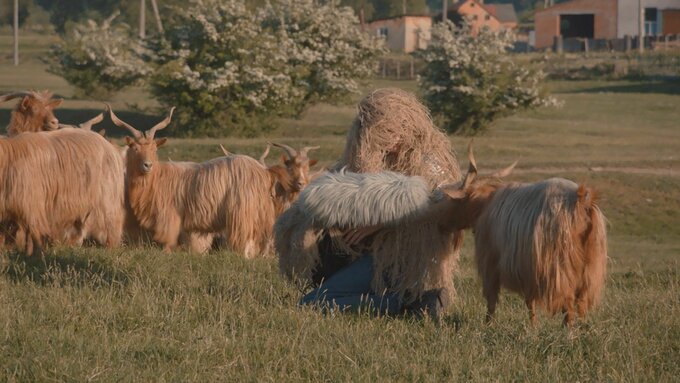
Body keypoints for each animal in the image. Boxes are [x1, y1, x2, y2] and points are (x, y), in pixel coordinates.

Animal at [440, 146, 612, 326]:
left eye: (455, 202)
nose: (441, 224)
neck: (485, 205)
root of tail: (581, 199)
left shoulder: (495, 263)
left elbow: (494, 300)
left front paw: (489, 324)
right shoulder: (528, 271)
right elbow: (530, 301)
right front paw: (533, 325)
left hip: (560, 269)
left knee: (568, 304)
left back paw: (568, 330)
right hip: (590, 268)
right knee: (580, 302)